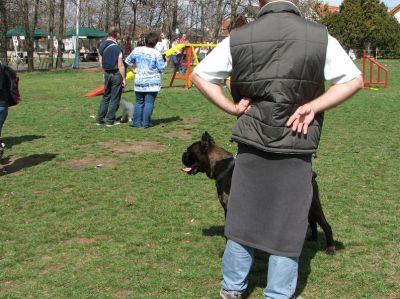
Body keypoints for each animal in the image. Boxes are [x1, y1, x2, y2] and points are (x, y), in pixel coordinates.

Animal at [183, 132, 336, 255]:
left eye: (189, 151)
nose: (183, 155)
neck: (222, 167)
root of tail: (311, 174)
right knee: (312, 221)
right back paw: (313, 237)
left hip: (314, 206)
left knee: (326, 225)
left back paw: (330, 248)